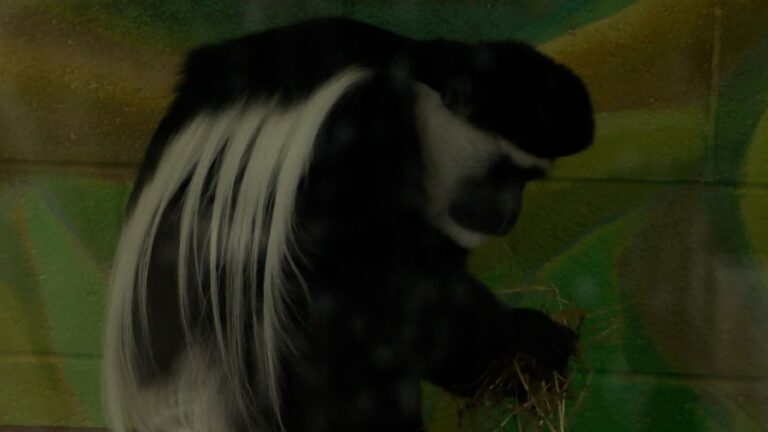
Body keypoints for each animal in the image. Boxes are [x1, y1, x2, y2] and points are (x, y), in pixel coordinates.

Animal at [103, 17, 593, 432]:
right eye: (505, 172)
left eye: (529, 179)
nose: (509, 215)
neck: (413, 87)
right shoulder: (355, 128)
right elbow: (375, 281)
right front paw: (527, 336)